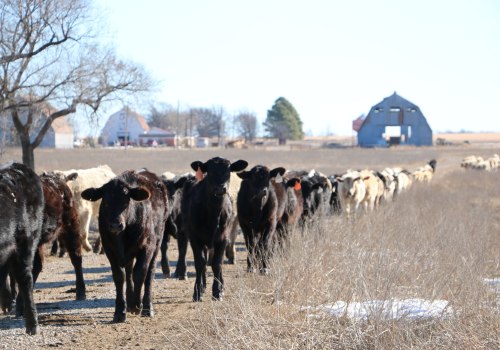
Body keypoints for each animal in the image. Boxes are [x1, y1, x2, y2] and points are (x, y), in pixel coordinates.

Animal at [81, 170, 168, 322]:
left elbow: (140, 273)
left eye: (127, 201)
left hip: (157, 244)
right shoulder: (110, 250)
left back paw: (146, 307)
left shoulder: (147, 247)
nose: (116, 225)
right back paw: (130, 302)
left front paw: (137, 305)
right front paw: (120, 311)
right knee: (128, 271)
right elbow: (119, 276)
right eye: (106, 201)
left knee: (149, 273)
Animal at [182, 158, 248, 300]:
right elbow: (200, 263)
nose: (220, 188)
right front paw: (197, 292)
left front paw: (217, 291)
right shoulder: (195, 238)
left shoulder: (222, 238)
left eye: (228, 171)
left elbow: (217, 263)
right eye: (210, 171)